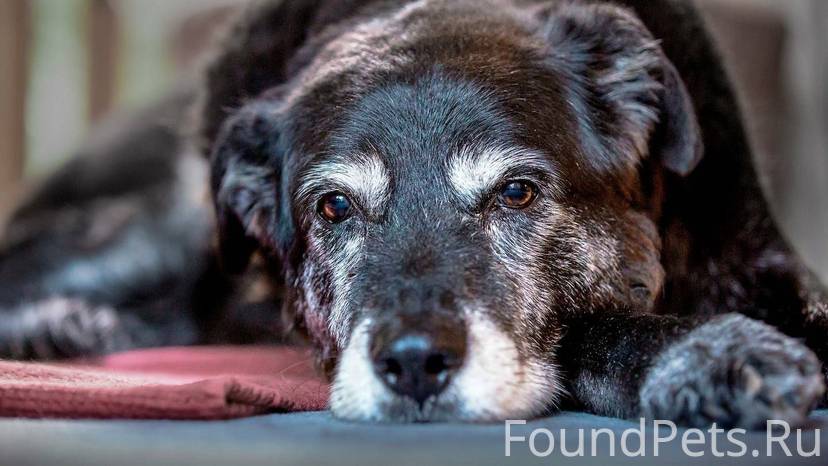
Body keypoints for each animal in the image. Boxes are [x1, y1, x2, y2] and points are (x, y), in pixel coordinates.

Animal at [1, 0, 826, 428]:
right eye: (335, 206)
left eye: (516, 193)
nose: (414, 365)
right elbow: (591, 329)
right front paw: (710, 354)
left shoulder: (762, 262)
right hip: (165, 232)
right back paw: (60, 325)